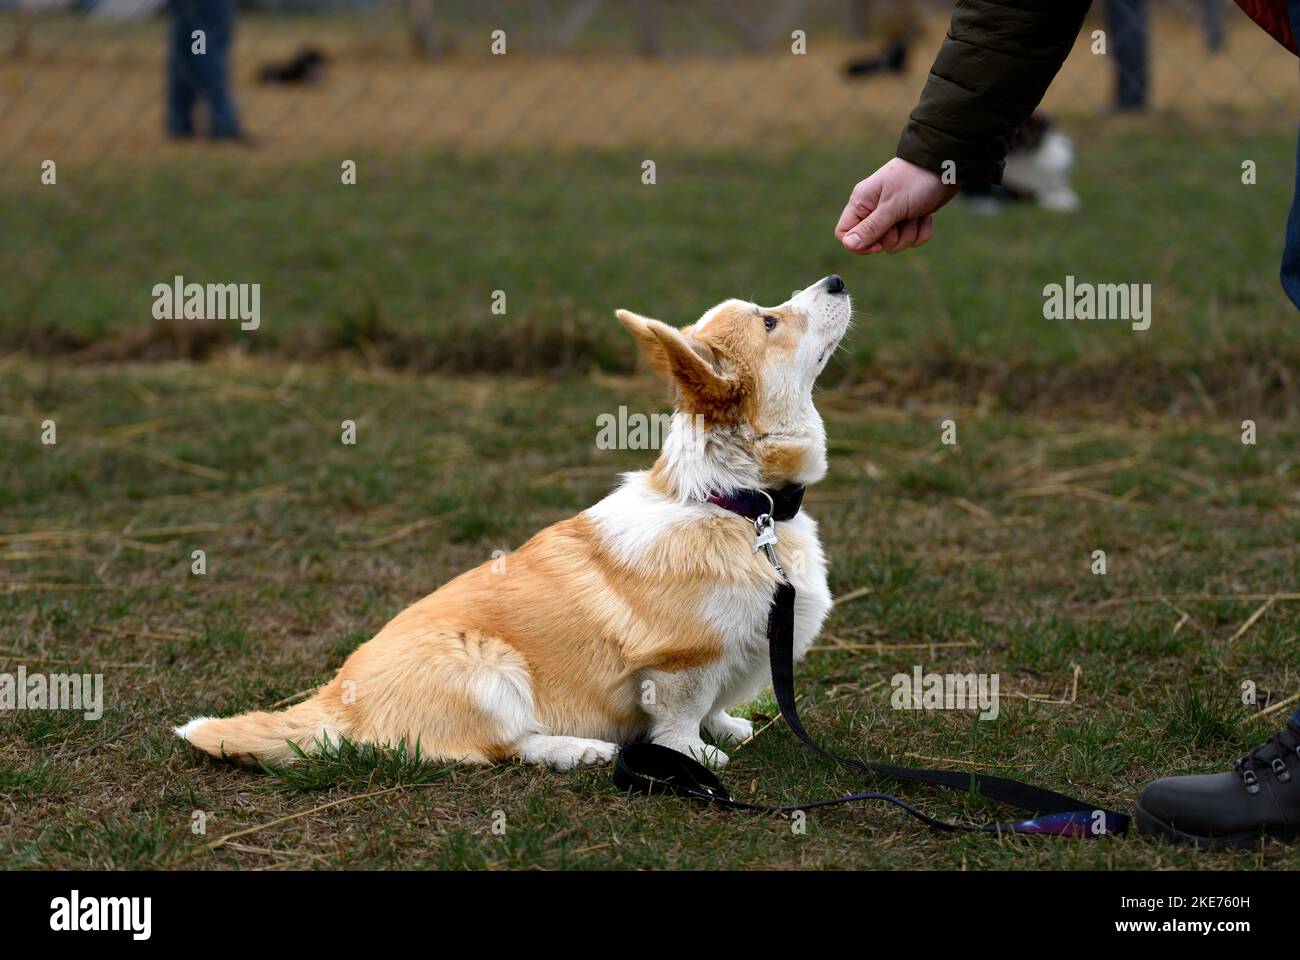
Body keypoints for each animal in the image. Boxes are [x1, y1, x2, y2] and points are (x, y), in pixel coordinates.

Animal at [180, 274, 852, 770]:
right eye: (770, 321)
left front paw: (730, 728)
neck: (736, 503)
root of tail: (337, 702)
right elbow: (679, 723)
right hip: (492, 672)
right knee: (501, 746)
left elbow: (714, 708)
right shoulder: (682, 660)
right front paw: (699, 758)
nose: (837, 279)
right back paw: (577, 750)